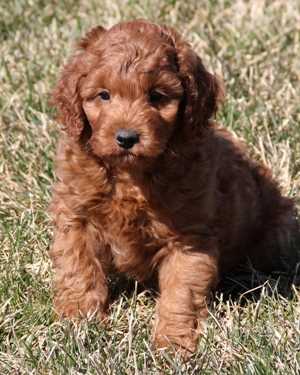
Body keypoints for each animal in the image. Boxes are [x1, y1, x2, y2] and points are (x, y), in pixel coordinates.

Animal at [49, 19, 298, 354]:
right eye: (103, 95)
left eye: (157, 96)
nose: (126, 138)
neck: (131, 176)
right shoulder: (76, 215)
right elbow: (79, 267)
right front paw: (77, 321)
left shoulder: (189, 237)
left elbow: (182, 292)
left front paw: (173, 343)